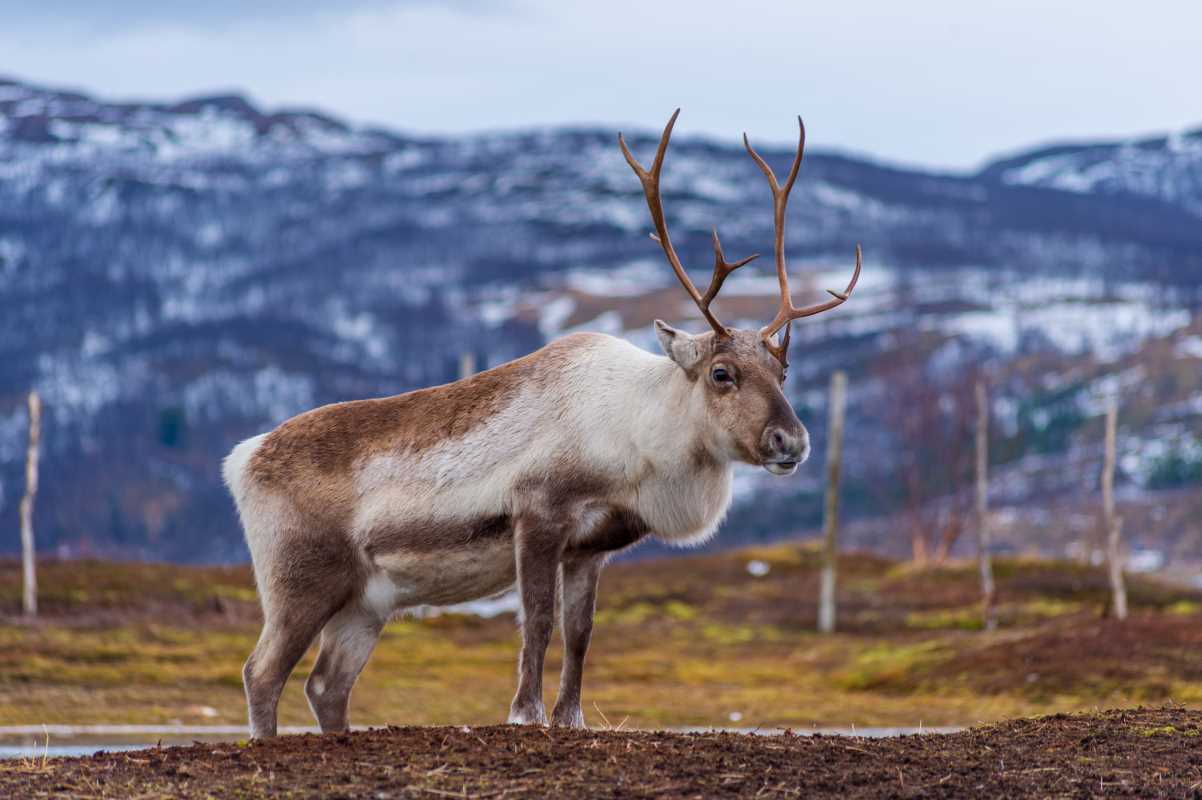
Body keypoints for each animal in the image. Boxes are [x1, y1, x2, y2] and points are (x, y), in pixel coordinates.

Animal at [223, 109, 861, 738]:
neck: (637, 435)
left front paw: (570, 717)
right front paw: (525, 713)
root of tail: (243, 458)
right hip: (298, 581)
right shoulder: (537, 516)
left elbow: (580, 635)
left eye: (783, 370)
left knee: (325, 685)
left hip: (365, 602)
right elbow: (537, 622)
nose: (791, 441)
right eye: (722, 373)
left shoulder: (591, 547)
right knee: (262, 672)